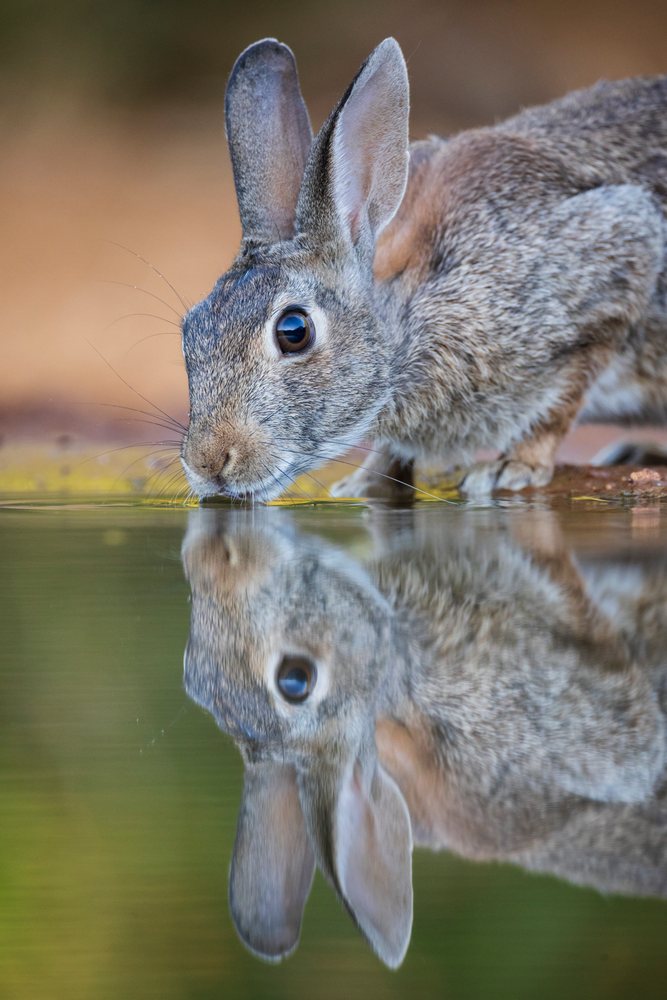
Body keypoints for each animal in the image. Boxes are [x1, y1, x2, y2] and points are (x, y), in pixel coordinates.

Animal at [179, 37, 667, 502]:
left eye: (294, 330)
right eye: (189, 330)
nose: (208, 462)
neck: (407, 309)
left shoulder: (618, 262)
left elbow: (559, 404)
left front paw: (512, 468)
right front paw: (363, 484)